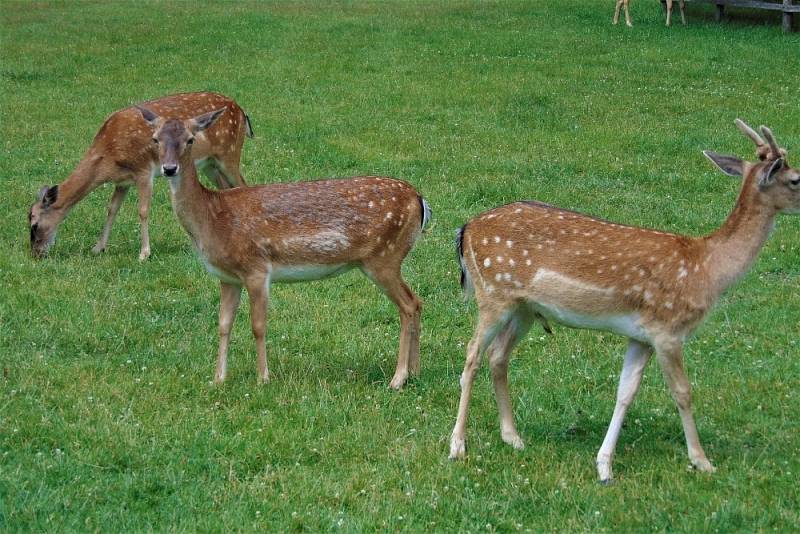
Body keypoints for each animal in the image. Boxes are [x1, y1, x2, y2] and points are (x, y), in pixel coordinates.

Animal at [28, 92, 253, 262]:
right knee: (227, 188)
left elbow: (143, 211)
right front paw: (98, 247)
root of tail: (242, 112)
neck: (109, 158)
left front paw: (144, 253)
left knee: (243, 183)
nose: (36, 253)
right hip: (209, 164)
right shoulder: (123, 180)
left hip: (229, 154)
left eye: (34, 225)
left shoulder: (143, 170)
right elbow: (112, 209)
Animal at [136, 105, 432, 390]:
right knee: (417, 301)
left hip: (384, 257)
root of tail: (420, 201)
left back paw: (397, 379)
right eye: (155, 138)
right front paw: (218, 379)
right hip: (388, 258)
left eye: (190, 139)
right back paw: (415, 372)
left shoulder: (256, 268)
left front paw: (263, 379)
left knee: (407, 305)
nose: (169, 168)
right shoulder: (227, 277)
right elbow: (223, 325)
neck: (213, 219)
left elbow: (258, 326)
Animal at [450, 121, 800, 486]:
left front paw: (604, 466)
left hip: (524, 309)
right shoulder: (668, 329)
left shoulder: (641, 335)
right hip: (493, 294)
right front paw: (702, 461)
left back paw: (513, 436)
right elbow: (683, 392)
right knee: (472, 354)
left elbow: (626, 392)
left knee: (498, 355)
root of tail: (465, 229)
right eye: (795, 179)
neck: (706, 270)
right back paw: (458, 445)